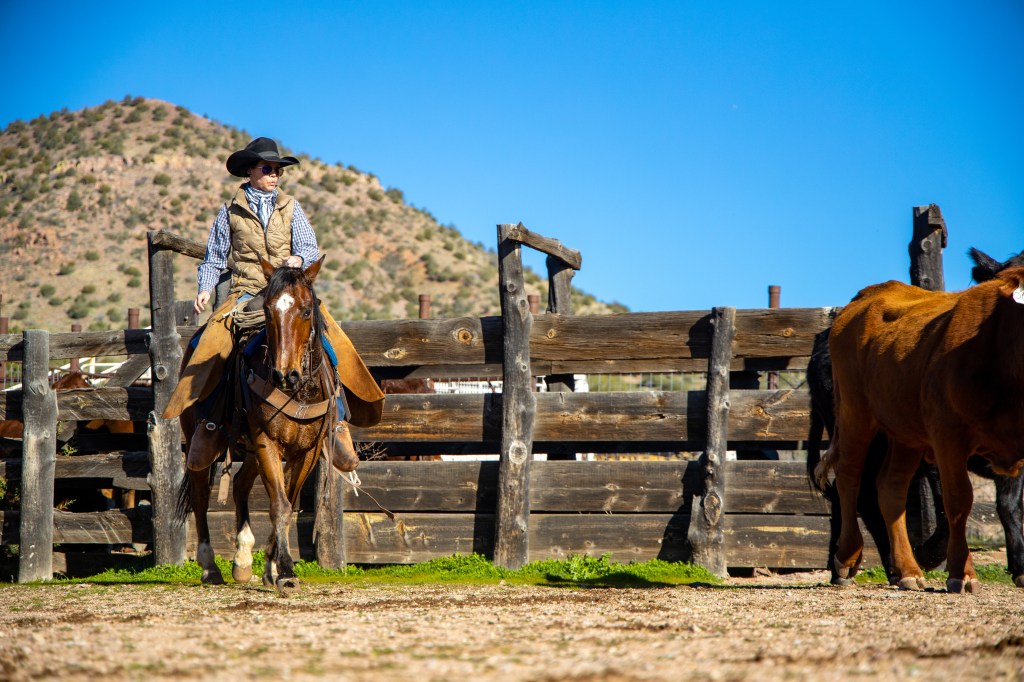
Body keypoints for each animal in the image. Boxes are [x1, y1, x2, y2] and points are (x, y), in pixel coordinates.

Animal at [177, 255, 336, 596]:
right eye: (267, 310)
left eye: (307, 310)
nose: (285, 375)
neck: (298, 393)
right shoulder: (267, 442)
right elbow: (279, 505)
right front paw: (286, 571)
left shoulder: (308, 450)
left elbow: (288, 501)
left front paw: (272, 567)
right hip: (201, 441)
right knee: (200, 494)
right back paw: (210, 567)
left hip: (250, 451)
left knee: (239, 485)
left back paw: (242, 561)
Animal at [808, 247, 1024, 587]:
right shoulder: (945, 438)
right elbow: (956, 501)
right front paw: (958, 570)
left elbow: (1008, 506)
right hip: (856, 416)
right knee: (852, 481)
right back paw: (848, 561)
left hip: (902, 435)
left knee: (889, 487)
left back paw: (905, 570)